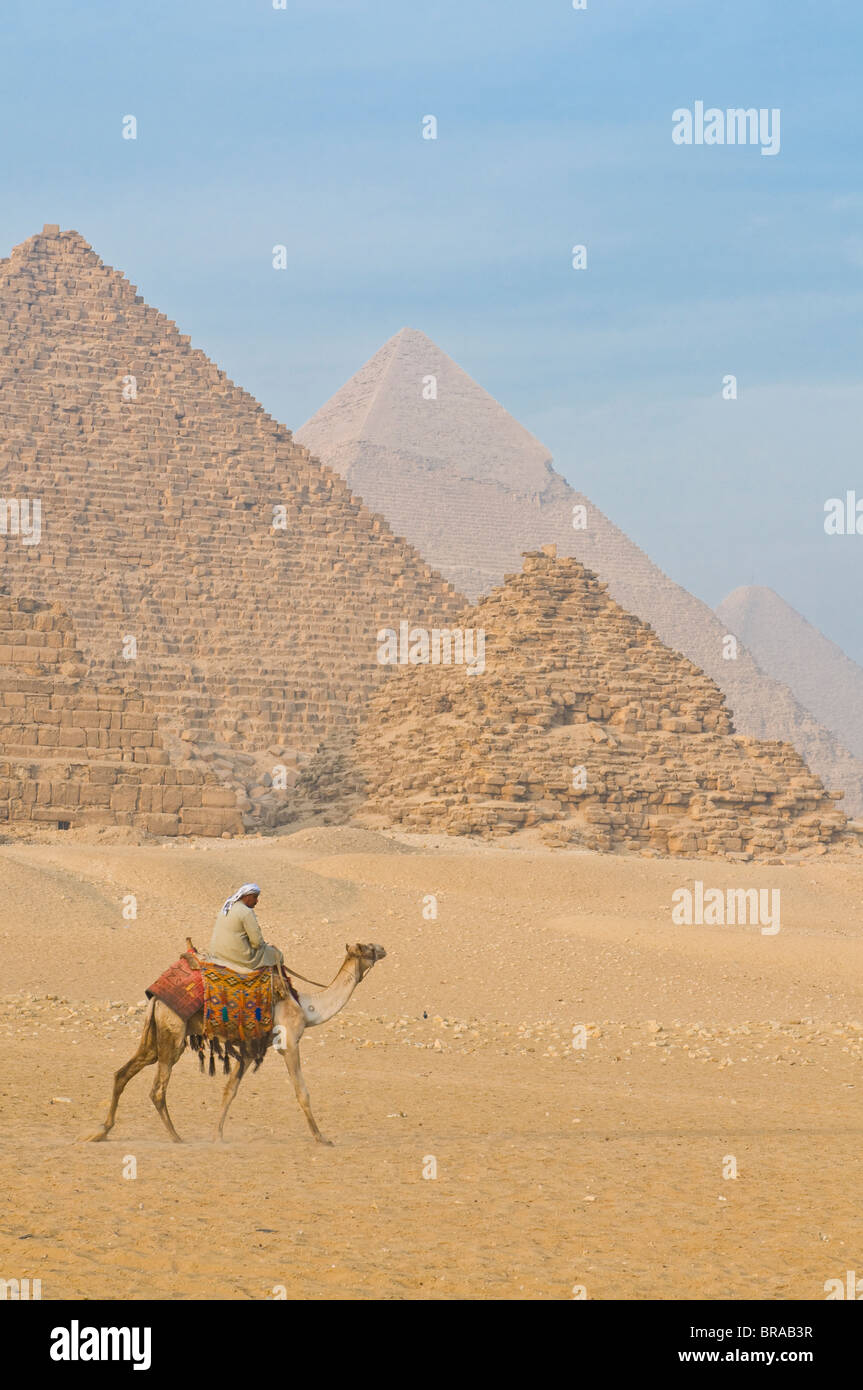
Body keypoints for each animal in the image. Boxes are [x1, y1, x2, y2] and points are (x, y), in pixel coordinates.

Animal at [84, 945, 386, 1150]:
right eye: (368, 948)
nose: (383, 948)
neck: (307, 1006)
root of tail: (155, 996)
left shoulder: (251, 1048)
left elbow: (230, 1090)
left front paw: (217, 1136)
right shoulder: (289, 1041)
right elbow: (303, 1092)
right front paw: (322, 1138)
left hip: (154, 1035)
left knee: (122, 1073)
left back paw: (101, 1131)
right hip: (173, 1034)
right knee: (157, 1089)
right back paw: (176, 1137)